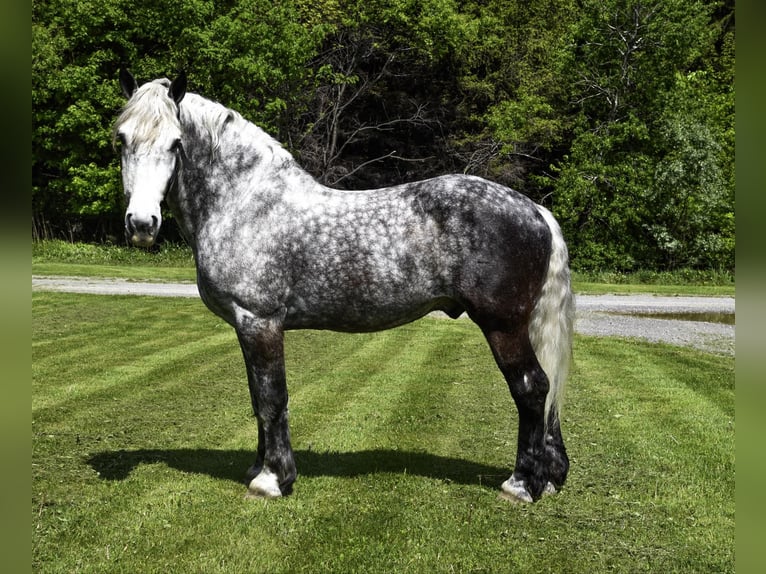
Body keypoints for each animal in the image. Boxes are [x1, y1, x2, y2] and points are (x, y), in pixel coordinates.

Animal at [114, 70, 574, 503]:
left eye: (175, 143)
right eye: (121, 140)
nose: (142, 224)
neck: (245, 203)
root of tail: (534, 210)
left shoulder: (260, 322)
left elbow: (271, 398)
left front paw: (272, 480)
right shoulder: (247, 327)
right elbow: (257, 399)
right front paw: (259, 469)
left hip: (503, 326)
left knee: (533, 388)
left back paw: (521, 484)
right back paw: (549, 478)